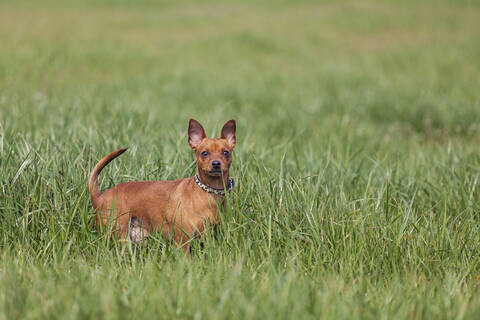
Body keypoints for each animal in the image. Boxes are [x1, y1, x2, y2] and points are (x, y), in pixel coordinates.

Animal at [88, 118, 236, 252]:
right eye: (204, 153)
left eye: (226, 152)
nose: (216, 163)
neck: (209, 193)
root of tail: (99, 197)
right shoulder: (182, 242)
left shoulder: (206, 239)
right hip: (117, 233)